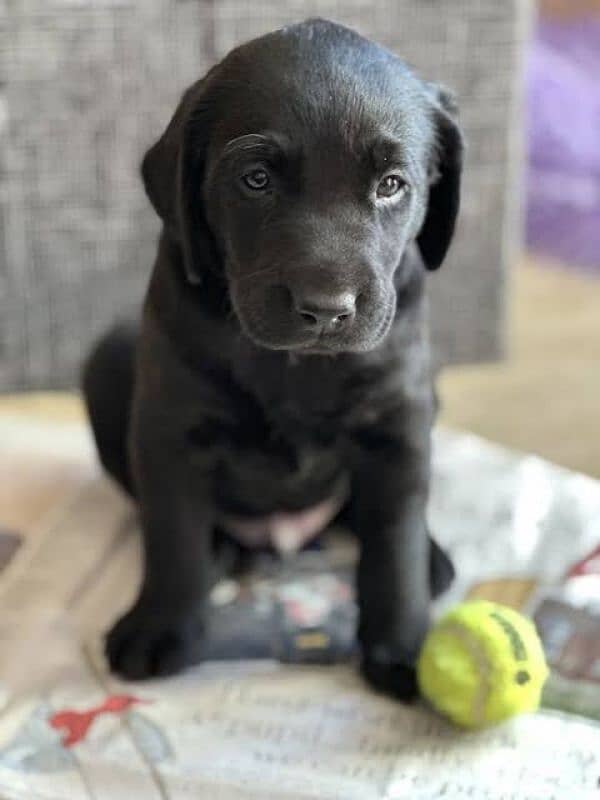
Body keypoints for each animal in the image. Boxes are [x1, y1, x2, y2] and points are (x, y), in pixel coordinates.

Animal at [82, 15, 462, 696]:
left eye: (391, 185)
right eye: (255, 179)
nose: (326, 308)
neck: (294, 365)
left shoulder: (398, 423)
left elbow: (393, 542)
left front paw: (405, 646)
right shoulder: (168, 428)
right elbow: (172, 535)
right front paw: (161, 626)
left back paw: (434, 559)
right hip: (108, 362)